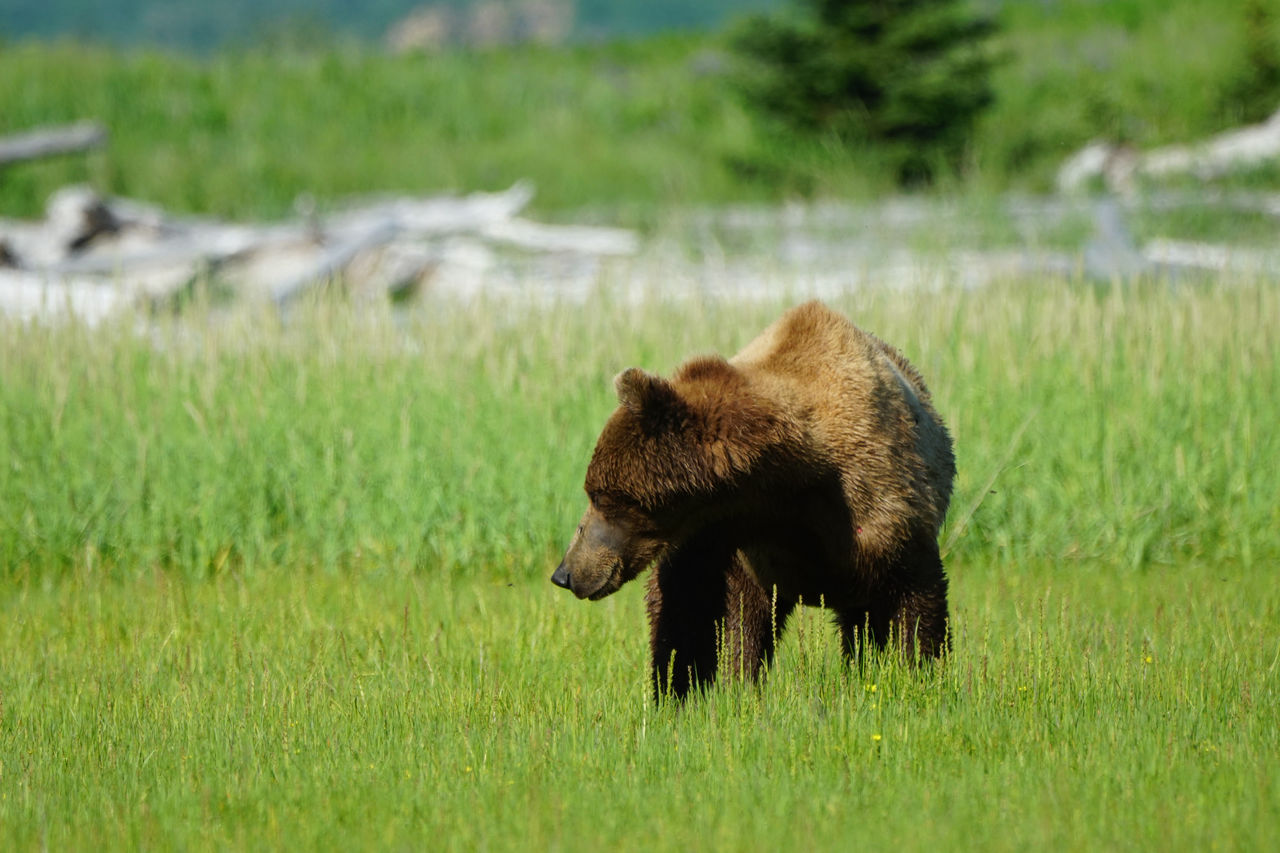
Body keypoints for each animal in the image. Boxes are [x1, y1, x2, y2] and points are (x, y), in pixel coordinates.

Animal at [550, 298, 952, 696]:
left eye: (601, 497)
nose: (564, 573)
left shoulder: (878, 518)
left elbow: (915, 604)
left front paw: (920, 677)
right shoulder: (735, 539)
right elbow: (714, 613)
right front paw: (707, 687)